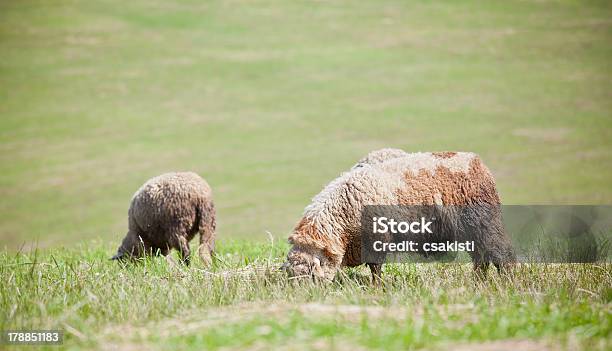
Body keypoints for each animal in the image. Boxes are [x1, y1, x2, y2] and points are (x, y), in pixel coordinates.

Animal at [284, 151, 512, 284]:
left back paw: (506, 281)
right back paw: (478, 282)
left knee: (499, 250)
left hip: (482, 220)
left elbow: (375, 268)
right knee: (481, 256)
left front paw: (376, 289)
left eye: (310, 275)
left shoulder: (376, 239)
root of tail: (475, 161)